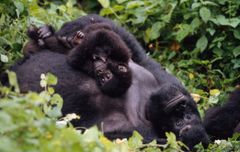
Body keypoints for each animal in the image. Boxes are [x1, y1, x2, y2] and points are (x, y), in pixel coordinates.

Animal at [7, 15, 210, 150]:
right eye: (185, 111)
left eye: (183, 121)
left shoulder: (147, 138)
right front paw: (60, 32)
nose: (178, 105)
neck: (146, 108)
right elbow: (126, 43)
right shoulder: (164, 78)